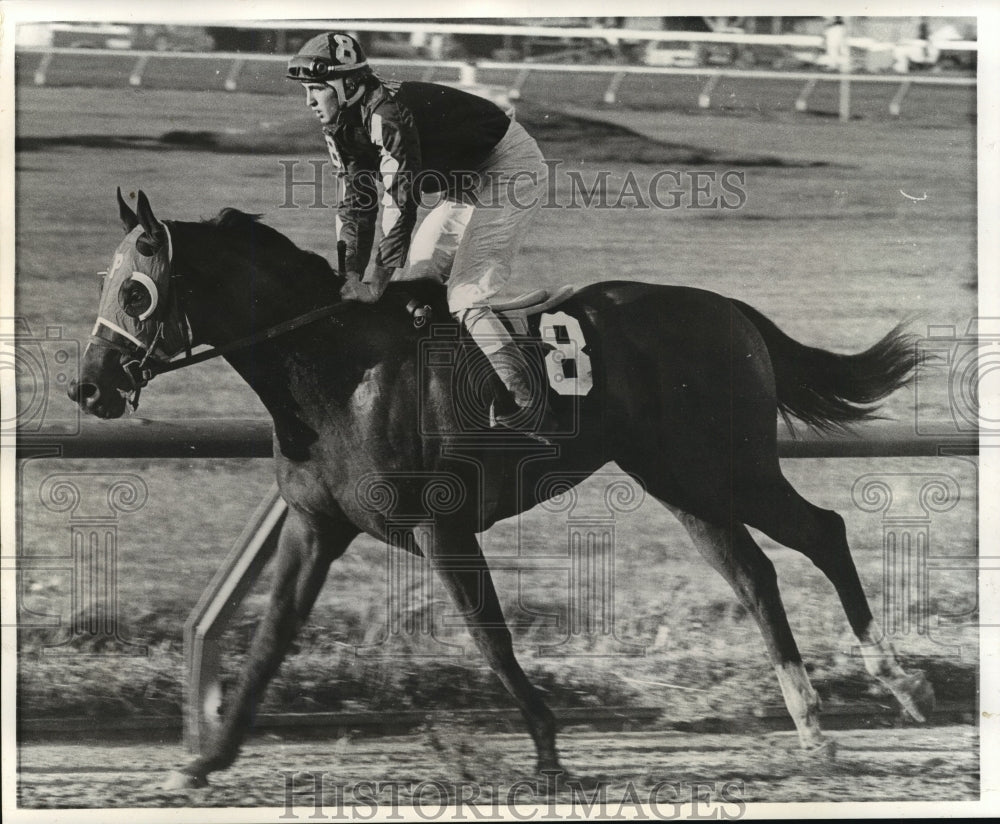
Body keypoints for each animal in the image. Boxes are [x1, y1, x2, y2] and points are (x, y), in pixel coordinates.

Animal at [68, 190, 928, 788]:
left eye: (137, 291)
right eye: (106, 282)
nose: (88, 386)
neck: (336, 370)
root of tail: (730, 310)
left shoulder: (439, 526)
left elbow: (490, 635)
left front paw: (548, 748)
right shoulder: (315, 524)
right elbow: (272, 638)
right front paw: (205, 759)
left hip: (727, 467)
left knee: (823, 531)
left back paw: (894, 680)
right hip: (682, 482)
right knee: (755, 575)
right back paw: (813, 725)